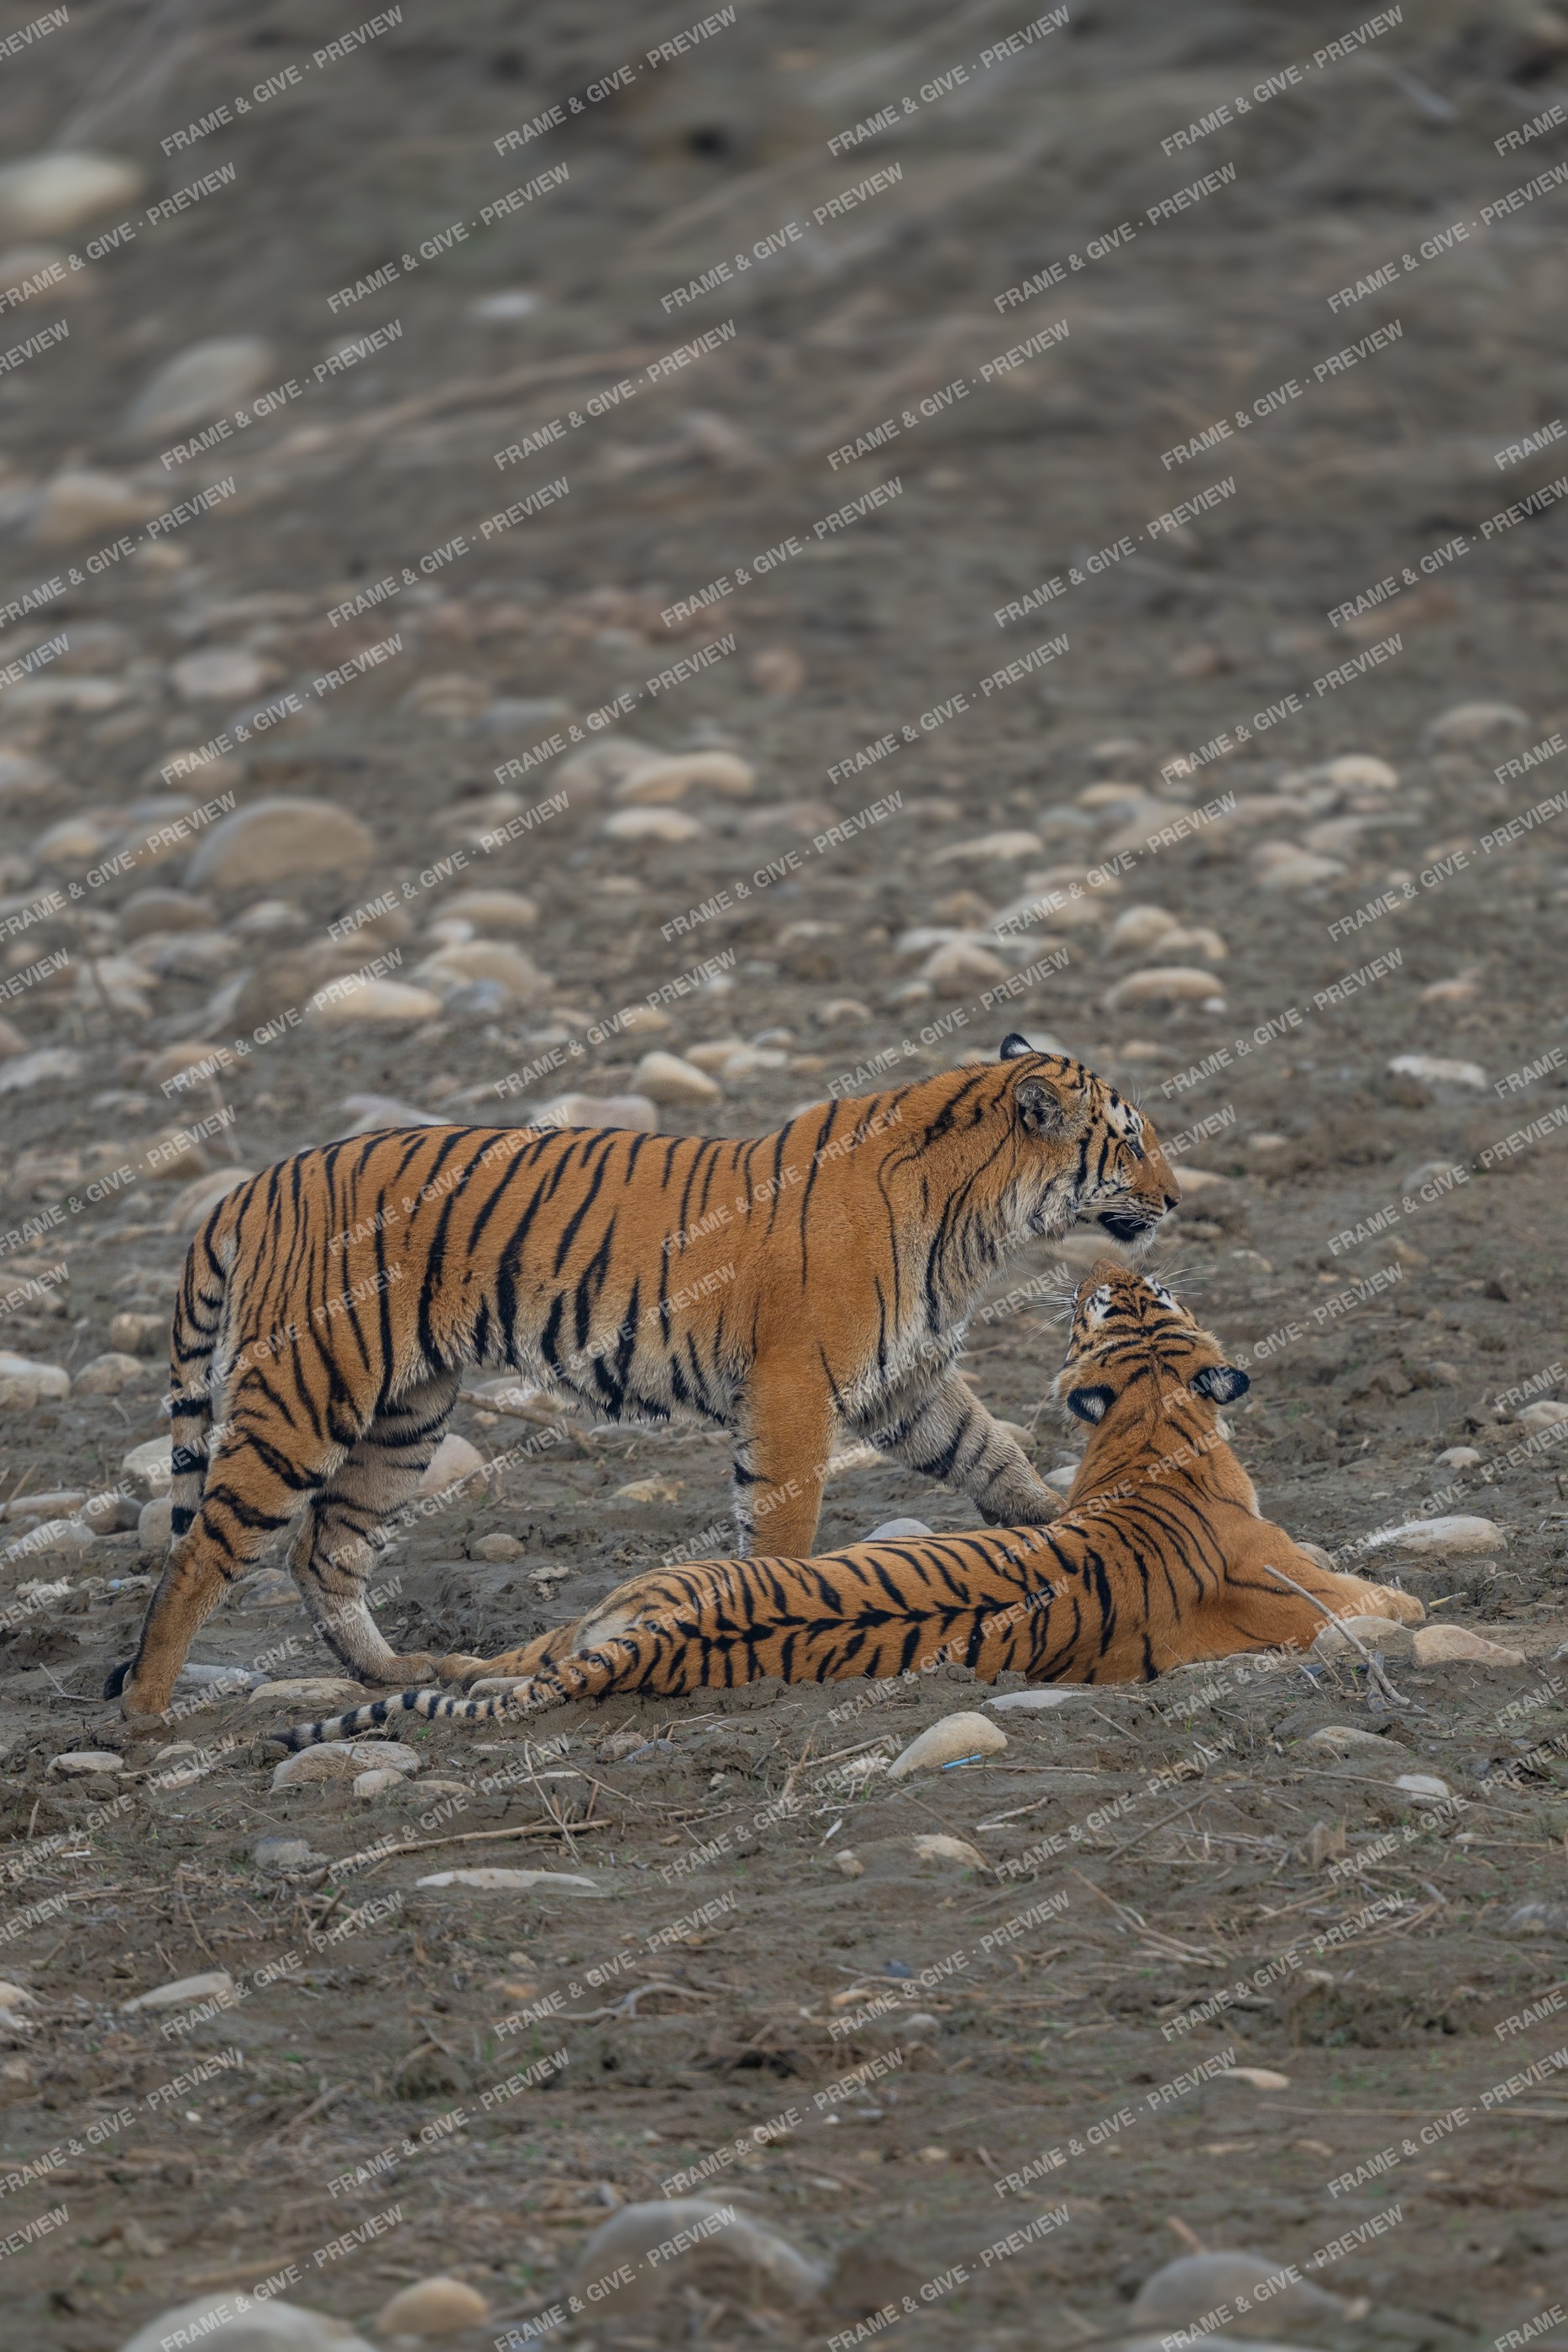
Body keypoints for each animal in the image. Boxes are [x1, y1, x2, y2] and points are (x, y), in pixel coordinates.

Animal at [108, 1036, 1178, 1721]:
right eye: (1129, 1140)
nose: (1175, 1197)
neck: (972, 1218)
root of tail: (253, 1185)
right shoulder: (796, 1388)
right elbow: (784, 1525)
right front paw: (770, 1615)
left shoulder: (902, 1380)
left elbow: (991, 1455)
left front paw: (1060, 1520)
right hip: (308, 1394)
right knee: (202, 1549)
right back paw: (148, 1718)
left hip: (404, 1415)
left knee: (324, 1550)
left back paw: (396, 1668)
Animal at [277, 1260, 1423, 1747]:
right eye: (1116, 1302)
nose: (1114, 1262)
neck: (1149, 1432)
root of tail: (651, 1634)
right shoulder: (1304, 1577)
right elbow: (1379, 1596)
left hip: (604, 1613)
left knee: (494, 1665)